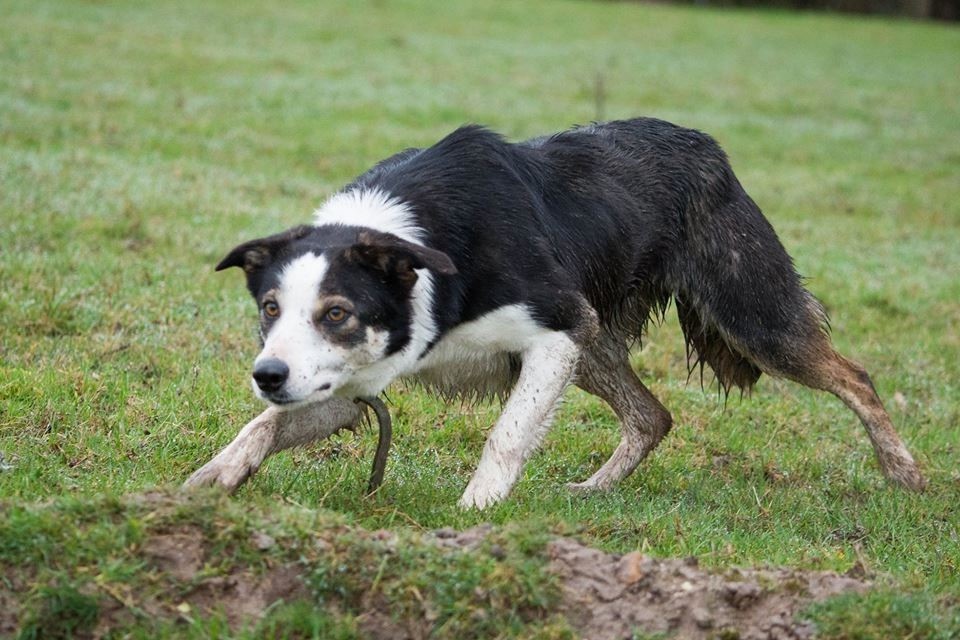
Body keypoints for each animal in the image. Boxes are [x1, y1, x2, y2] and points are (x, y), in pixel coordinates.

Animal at [184, 120, 928, 508]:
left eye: (336, 312)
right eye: (270, 308)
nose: (267, 374)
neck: (421, 249)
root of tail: (705, 145)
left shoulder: (554, 332)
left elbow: (506, 436)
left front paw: (476, 513)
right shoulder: (349, 377)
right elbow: (264, 425)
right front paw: (211, 478)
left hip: (750, 316)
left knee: (855, 378)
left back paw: (905, 475)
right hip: (598, 347)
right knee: (653, 416)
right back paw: (593, 490)